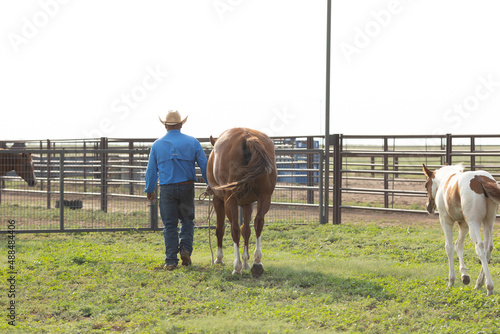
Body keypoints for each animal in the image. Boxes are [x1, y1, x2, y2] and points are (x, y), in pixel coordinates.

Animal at [207, 126, 278, 278]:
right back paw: (257, 262)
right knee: (258, 222)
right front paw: (246, 262)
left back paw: (236, 266)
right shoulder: (248, 203)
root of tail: (247, 137)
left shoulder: (218, 200)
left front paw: (219, 258)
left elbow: (220, 229)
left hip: (230, 201)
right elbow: (246, 229)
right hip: (265, 197)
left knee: (234, 228)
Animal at [422, 164, 500, 294]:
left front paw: (451, 281)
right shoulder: (463, 224)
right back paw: (479, 283)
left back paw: (489, 286)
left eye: (426, 185)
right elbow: (459, 245)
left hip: (474, 223)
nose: (428, 207)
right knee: (489, 247)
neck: (445, 180)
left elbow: (449, 247)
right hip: (488, 222)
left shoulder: (446, 221)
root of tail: (480, 179)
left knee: (480, 247)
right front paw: (464, 276)